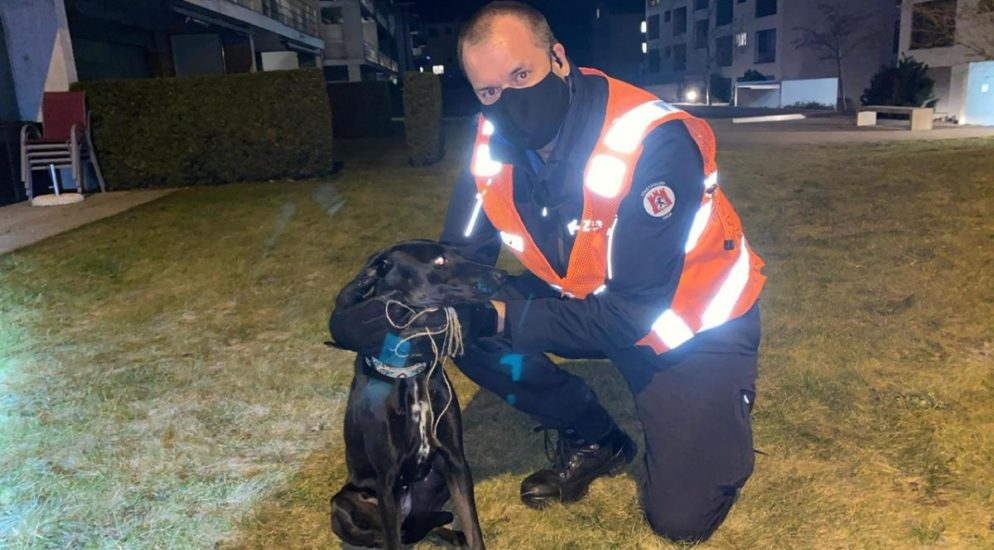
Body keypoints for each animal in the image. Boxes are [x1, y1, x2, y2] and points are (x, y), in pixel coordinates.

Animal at [328, 242, 504, 550]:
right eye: (439, 261)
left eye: (457, 252)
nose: (501, 276)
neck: (410, 372)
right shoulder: (387, 481)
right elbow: (393, 541)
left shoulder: (456, 462)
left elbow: (473, 527)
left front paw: (468, 536)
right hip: (342, 505)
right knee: (389, 536)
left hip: (437, 479)